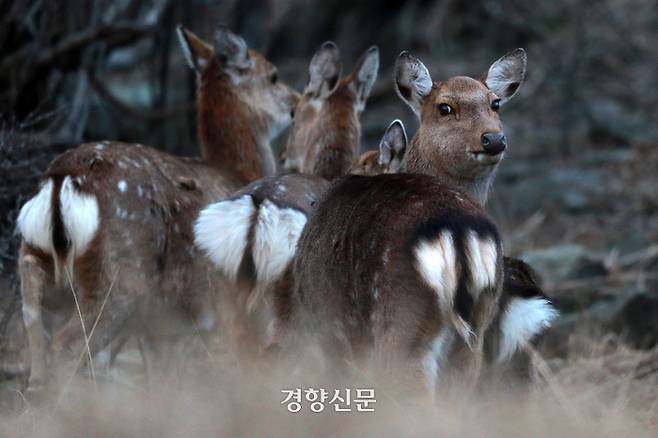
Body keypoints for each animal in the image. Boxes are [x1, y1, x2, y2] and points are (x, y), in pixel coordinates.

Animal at [14, 24, 296, 388]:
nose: (297, 103)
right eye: (273, 75)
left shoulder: (162, 331)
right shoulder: (221, 306)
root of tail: (62, 178)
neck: (235, 171)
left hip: (32, 259)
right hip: (119, 277)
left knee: (36, 336)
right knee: (68, 346)